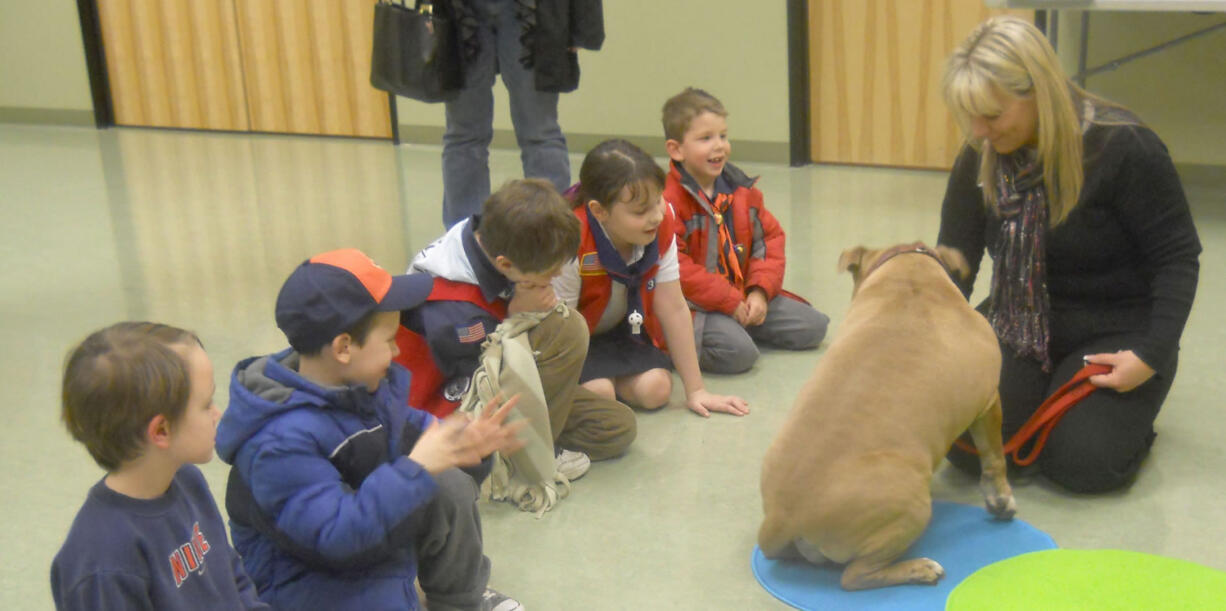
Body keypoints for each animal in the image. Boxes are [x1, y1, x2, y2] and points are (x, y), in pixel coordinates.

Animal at [755, 244, 1015, 591]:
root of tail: (782, 516)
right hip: (913, 506)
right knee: (854, 576)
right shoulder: (989, 402)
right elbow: (995, 457)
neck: (910, 277)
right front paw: (1001, 499)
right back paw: (918, 569)